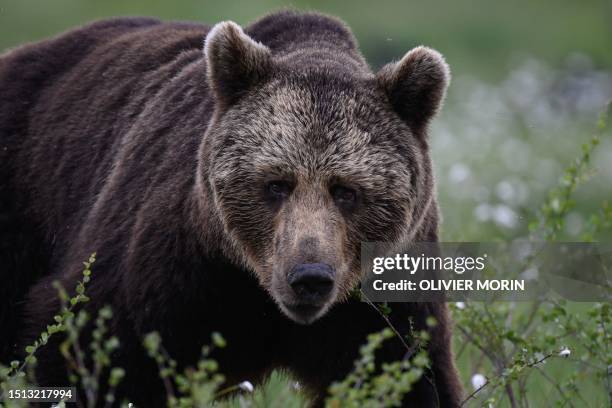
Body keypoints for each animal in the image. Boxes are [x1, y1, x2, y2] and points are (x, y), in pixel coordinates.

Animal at [0, 11, 460, 406]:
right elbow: (89, 348)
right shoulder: (170, 268)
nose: (309, 277)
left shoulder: (380, 299)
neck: (252, 283)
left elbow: (411, 378)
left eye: (346, 190)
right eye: (276, 184)